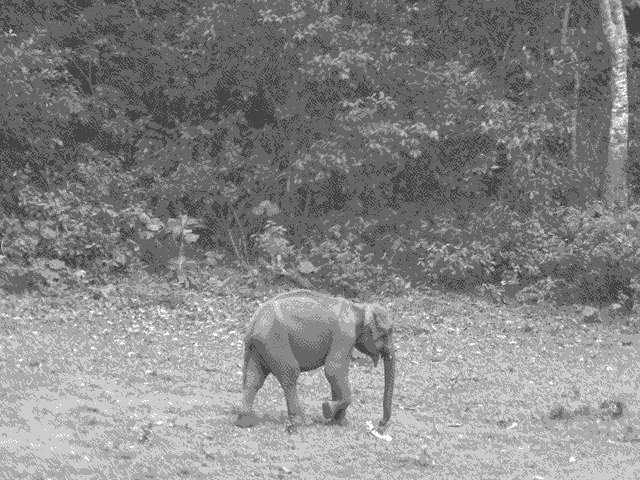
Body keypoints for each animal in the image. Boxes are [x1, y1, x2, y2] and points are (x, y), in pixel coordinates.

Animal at [235, 289, 395, 432]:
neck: (358, 307)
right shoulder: (344, 334)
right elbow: (334, 369)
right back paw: (299, 422)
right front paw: (327, 409)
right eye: (385, 334)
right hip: (275, 342)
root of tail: (253, 323)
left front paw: (338, 421)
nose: (380, 425)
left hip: (256, 349)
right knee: (290, 375)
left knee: (253, 379)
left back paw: (245, 422)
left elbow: (336, 373)